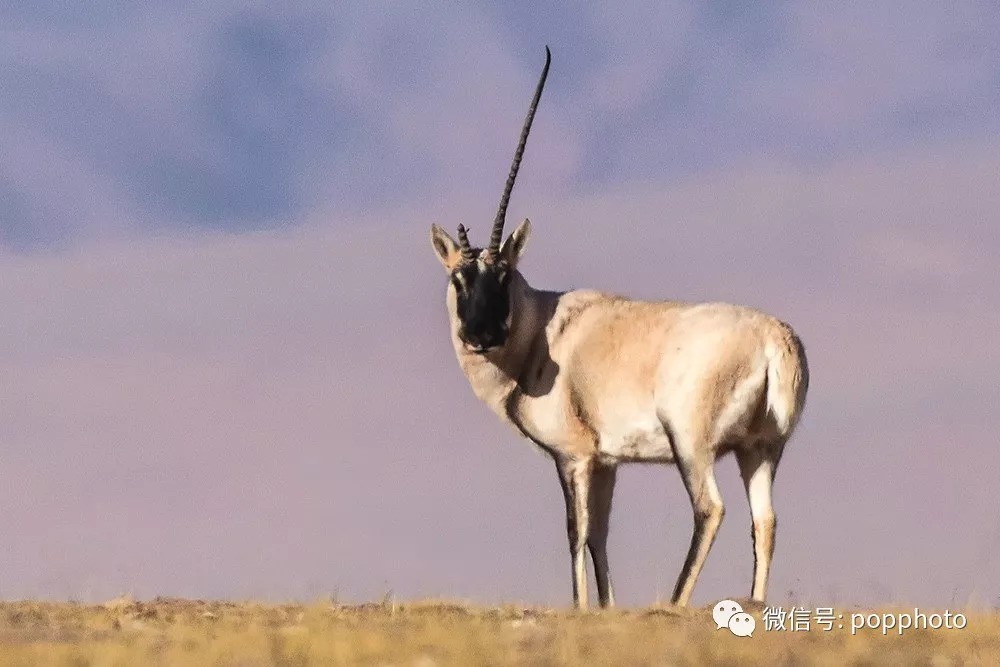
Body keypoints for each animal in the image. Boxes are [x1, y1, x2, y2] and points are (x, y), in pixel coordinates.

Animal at [426, 47, 808, 612]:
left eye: (504, 274)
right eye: (459, 278)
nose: (481, 335)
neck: (540, 330)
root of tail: (772, 339)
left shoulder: (573, 457)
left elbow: (576, 532)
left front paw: (582, 607)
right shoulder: (607, 464)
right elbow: (600, 536)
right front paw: (605, 607)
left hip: (691, 443)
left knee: (710, 509)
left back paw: (675, 602)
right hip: (760, 450)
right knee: (766, 520)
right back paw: (754, 604)